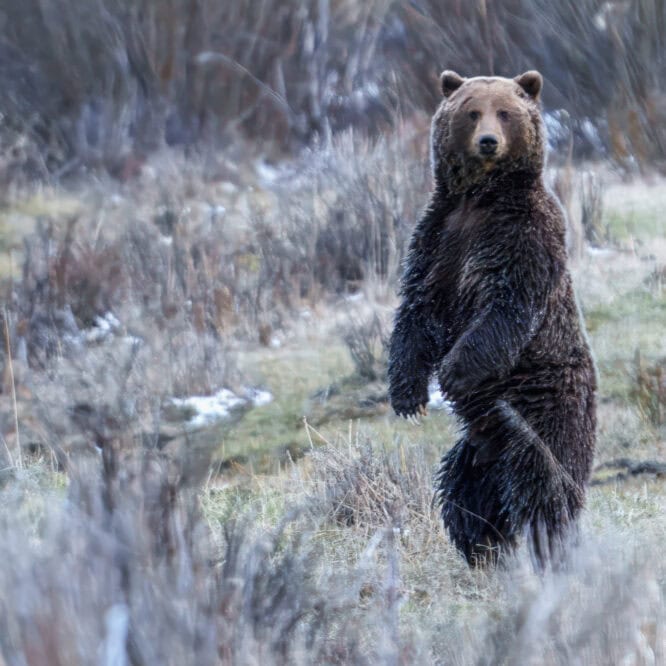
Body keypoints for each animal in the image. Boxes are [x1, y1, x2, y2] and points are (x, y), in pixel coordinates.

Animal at [387, 70, 596, 567]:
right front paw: (407, 396)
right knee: (466, 495)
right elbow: (415, 312)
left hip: (543, 410)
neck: (480, 200)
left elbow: (506, 307)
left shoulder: (524, 236)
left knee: (546, 484)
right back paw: (485, 550)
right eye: (471, 111)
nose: (487, 142)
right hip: (480, 448)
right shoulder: (436, 240)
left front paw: (452, 373)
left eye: (505, 112)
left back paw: (550, 548)